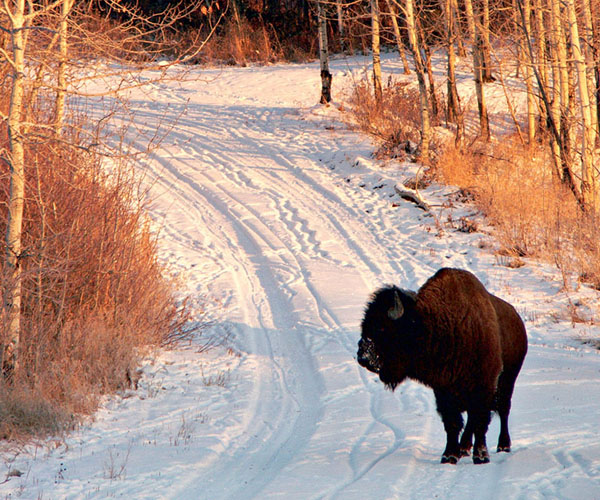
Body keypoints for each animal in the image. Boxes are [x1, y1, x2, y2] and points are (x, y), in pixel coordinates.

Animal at [358, 268, 528, 462]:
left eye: (382, 328)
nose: (362, 358)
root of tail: (517, 319)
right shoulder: (443, 390)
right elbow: (452, 422)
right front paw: (449, 456)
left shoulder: (484, 386)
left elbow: (480, 421)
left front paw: (481, 457)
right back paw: (464, 447)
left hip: (508, 379)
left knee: (503, 409)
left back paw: (503, 446)